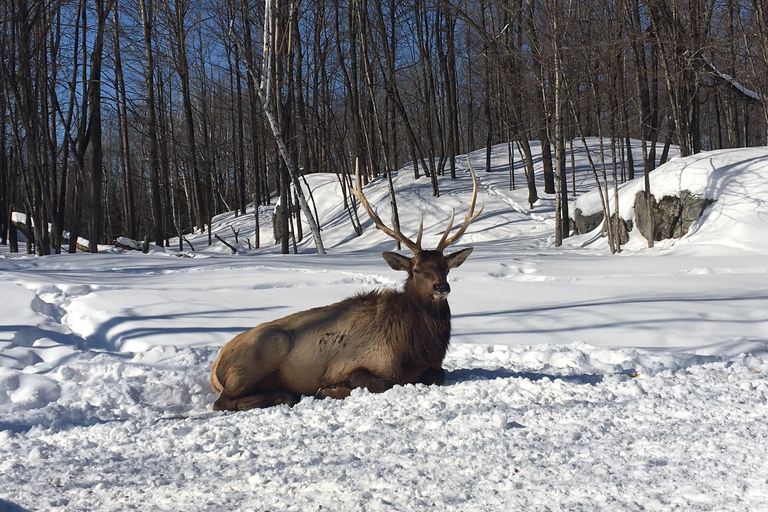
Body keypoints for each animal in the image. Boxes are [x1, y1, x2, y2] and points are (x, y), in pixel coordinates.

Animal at [210, 162, 484, 410]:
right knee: (221, 402)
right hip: (261, 352)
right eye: (416, 270)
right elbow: (380, 383)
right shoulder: (344, 364)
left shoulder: (430, 366)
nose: (441, 288)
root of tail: (215, 368)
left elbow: (438, 374)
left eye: (446, 268)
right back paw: (285, 395)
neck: (413, 348)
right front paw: (328, 390)